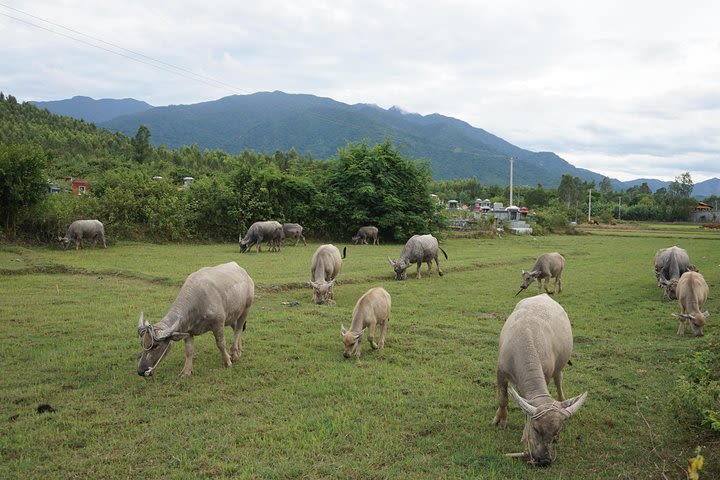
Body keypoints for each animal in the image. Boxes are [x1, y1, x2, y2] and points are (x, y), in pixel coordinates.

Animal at [492, 294, 588, 466]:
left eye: (557, 431)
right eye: (536, 429)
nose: (544, 460)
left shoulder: (546, 375)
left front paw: (524, 435)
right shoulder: (501, 371)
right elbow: (502, 398)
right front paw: (500, 421)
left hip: (558, 367)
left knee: (559, 380)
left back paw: (562, 399)